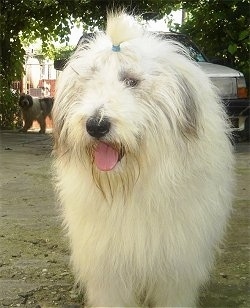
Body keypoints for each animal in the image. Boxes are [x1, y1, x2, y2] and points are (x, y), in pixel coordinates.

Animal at [52, 11, 234, 306]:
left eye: (131, 81)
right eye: (89, 82)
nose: (96, 125)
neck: (129, 186)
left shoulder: (176, 269)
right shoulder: (109, 270)